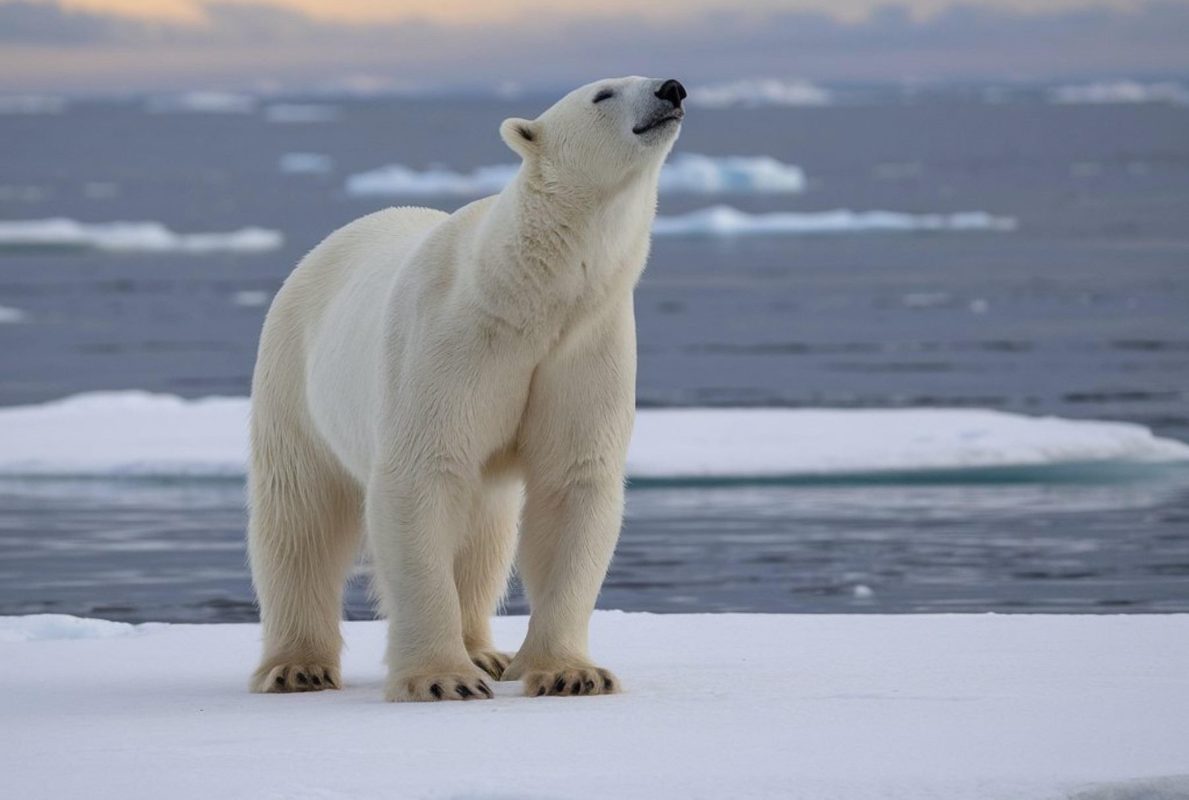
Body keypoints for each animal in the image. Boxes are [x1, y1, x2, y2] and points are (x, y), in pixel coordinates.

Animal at [247, 76, 687, 701]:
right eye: (603, 93)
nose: (671, 88)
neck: (527, 296)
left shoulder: (583, 345)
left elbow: (572, 484)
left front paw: (571, 673)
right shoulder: (450, 344)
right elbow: (421, 477)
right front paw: (441, 679)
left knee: (484, 534)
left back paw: (485, 651)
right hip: (294, 377)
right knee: (300, 518)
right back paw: (297, 666)